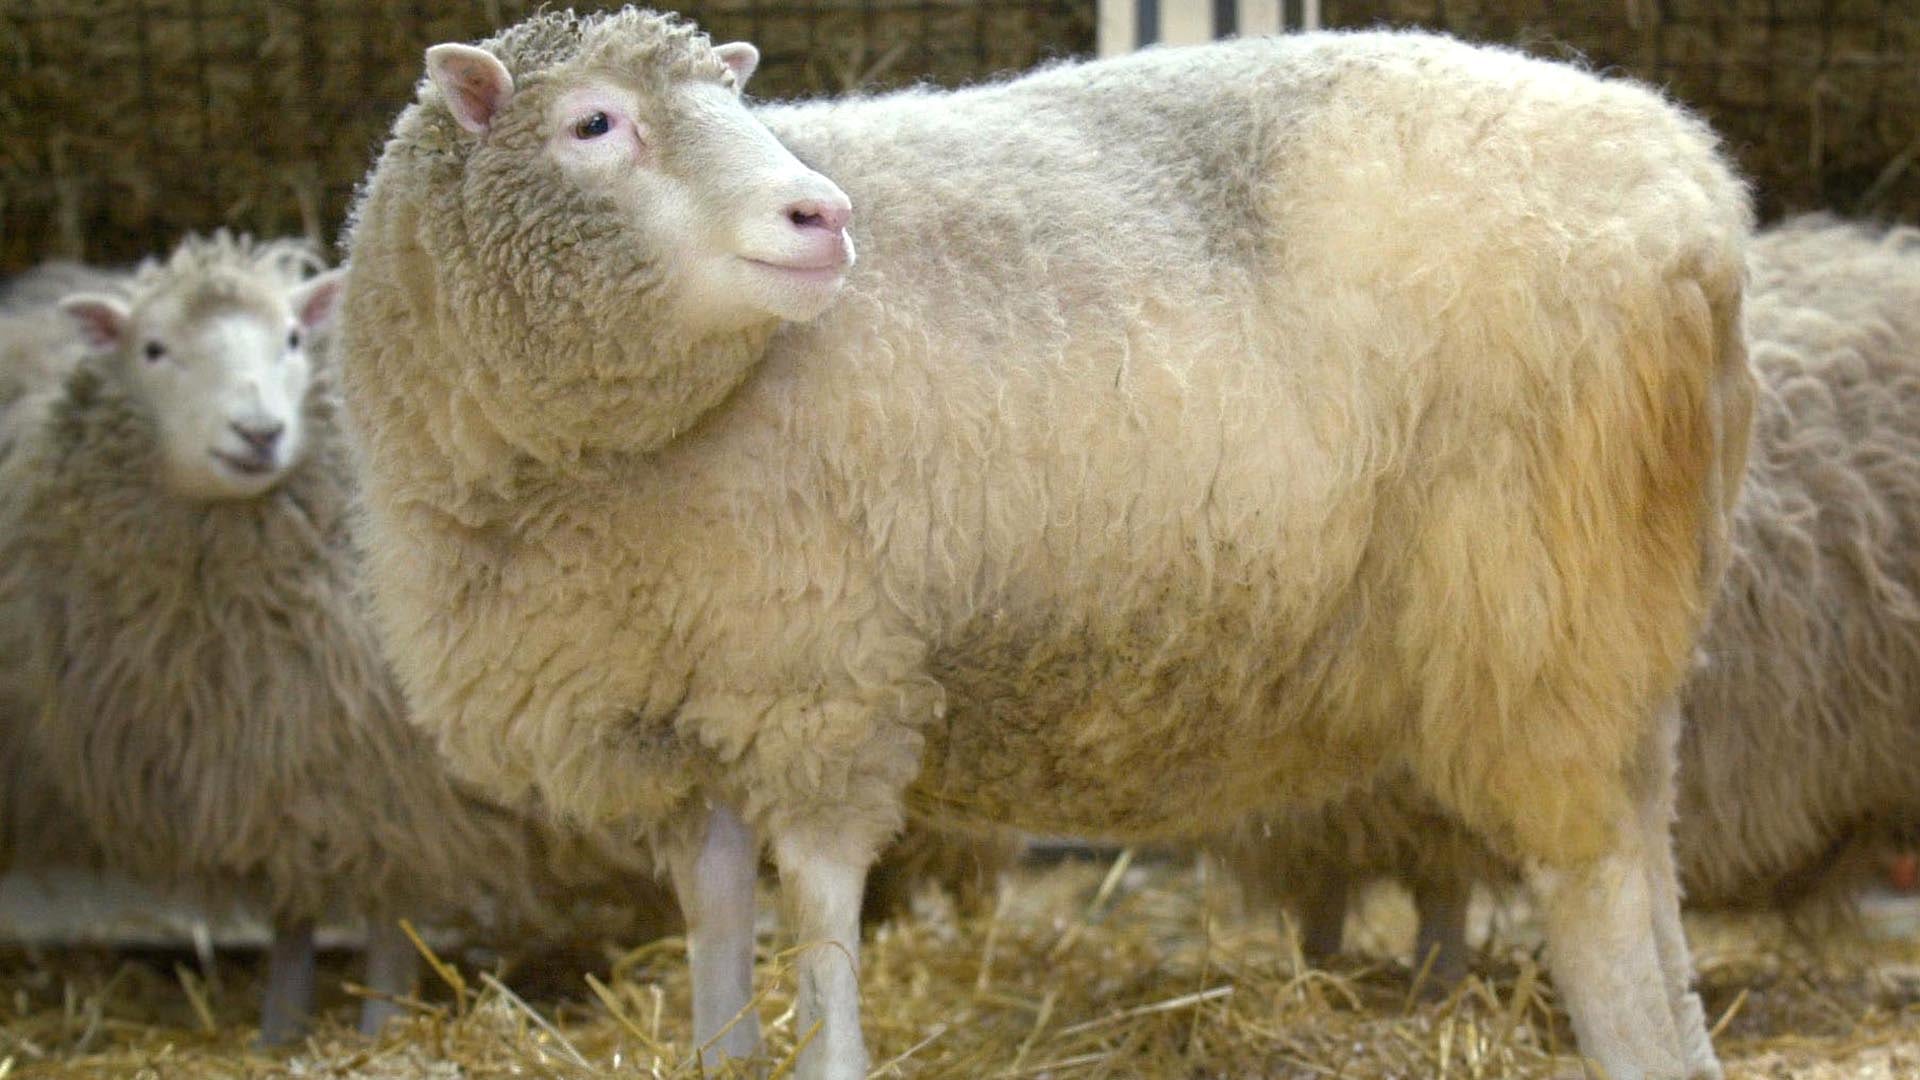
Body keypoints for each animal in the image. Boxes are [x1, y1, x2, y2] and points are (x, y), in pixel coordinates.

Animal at [0, 232, 687, 1045]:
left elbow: (392, 917)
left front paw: (380, 1026)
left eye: (293, 339)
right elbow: (293, 917)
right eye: (154, 349)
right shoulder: (279, 773)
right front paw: (277, 1030)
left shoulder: (397, 784)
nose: (259, 433)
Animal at [336, 12, 1753, 1079]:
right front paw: (721, 1051)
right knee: (1650, 844)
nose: (822, 215)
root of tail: (1699, 196)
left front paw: (828, 1057)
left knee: (1595, 874)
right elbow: (718, 905)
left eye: (733, 103)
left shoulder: (821, 671)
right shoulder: (675, 699)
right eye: (593, 124)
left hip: (1536, 587)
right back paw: (1684, 1038)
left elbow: (824, 896)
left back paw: (1632, 1036)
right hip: (1629, 594)